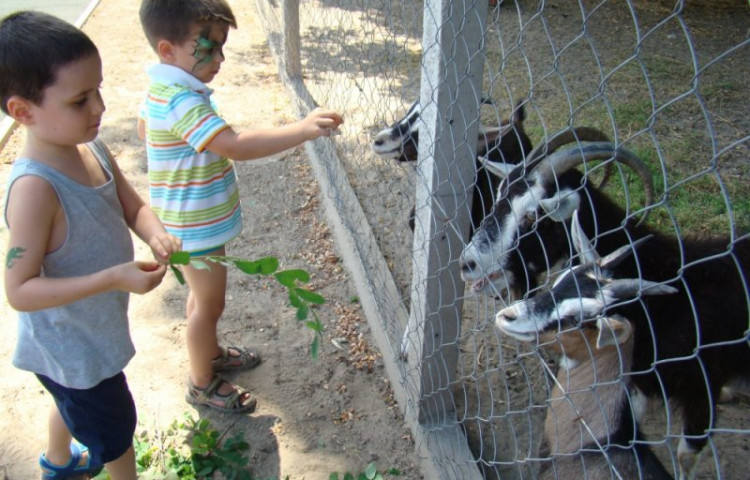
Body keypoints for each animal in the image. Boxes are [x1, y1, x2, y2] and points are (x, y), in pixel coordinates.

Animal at [494, 209, 750, 479]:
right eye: (560, 281)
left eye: (579, 318)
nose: (508, 315)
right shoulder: (642, 380)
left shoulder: (701, 391)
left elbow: (686, 455)